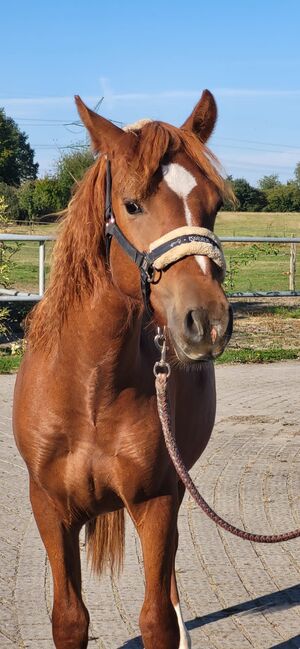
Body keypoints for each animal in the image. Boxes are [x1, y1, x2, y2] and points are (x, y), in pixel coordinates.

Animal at [13, 92, 232, 648]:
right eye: (132, 204)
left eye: (214, 206)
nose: (208, 322)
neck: (89, 387)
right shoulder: (49, 506)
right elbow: (70, 619)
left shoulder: (155, 501)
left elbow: (155, 619)